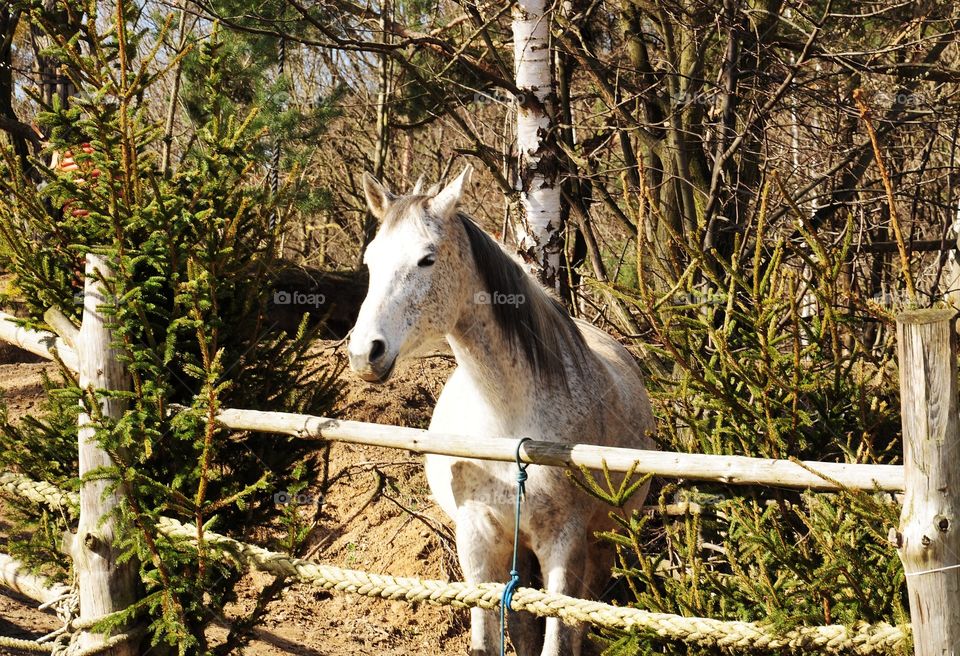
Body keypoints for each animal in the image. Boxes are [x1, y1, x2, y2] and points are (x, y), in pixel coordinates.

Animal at [348, 168, 656, 656]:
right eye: (371, 261)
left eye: (427, 259)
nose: (365, 354)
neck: (508, 425)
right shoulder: (477, 542)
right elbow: (489, 640)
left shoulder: (563, 545)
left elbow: (559, 640)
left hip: (603, 539)